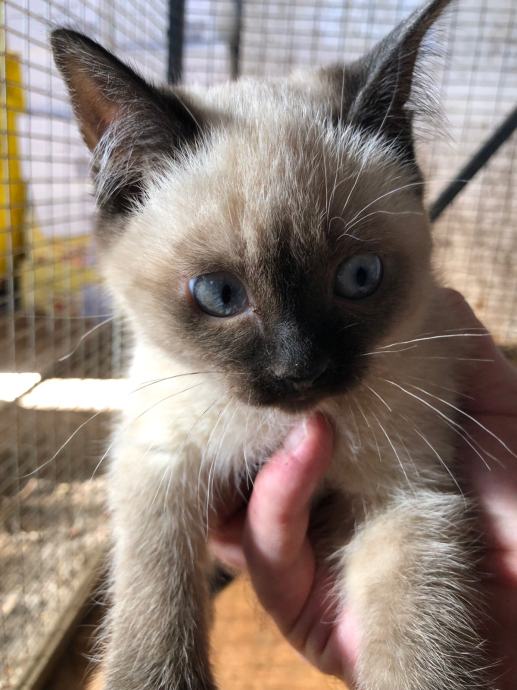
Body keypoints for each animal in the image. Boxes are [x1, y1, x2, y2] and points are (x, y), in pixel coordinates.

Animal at [51, 0, 495, 688]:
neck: (269, 433)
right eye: (219, 295)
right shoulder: (159, 460)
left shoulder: (402, 493)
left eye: (359, 277)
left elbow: (421, 640)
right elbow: (155, 593)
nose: (301, 368)